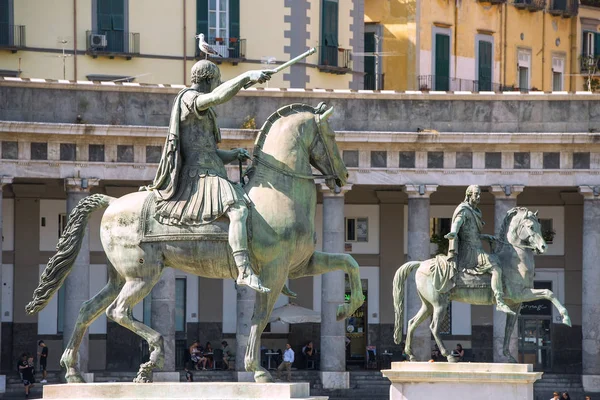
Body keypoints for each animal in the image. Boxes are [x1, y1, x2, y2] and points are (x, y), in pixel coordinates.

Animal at [25, 103, 364, 384]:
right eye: (331, 134)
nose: (344, 175)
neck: (277, 195)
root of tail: (111, 202)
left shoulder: (300, 265)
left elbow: (349, 262)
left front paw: (348, 307)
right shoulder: (274, 272)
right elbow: (259, 318)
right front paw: (257, 369)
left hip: (119, 276)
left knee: (86, 309)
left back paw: (74, 371)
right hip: (143, 275)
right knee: (118, 311)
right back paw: (155, 355)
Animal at [394, 206, 572, 362]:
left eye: (540, 226)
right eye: (530, 226)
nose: (543, 247)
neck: (514, 259)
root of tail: (420, 264)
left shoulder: (516, 304)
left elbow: (508, 330)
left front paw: (508, 356)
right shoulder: (521, 293)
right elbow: (549, 293)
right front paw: (566, 317)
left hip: (428, 305)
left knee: (412, 322)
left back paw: (411, 355)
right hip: (439, 304)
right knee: (434, 327)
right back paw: (448, 355)